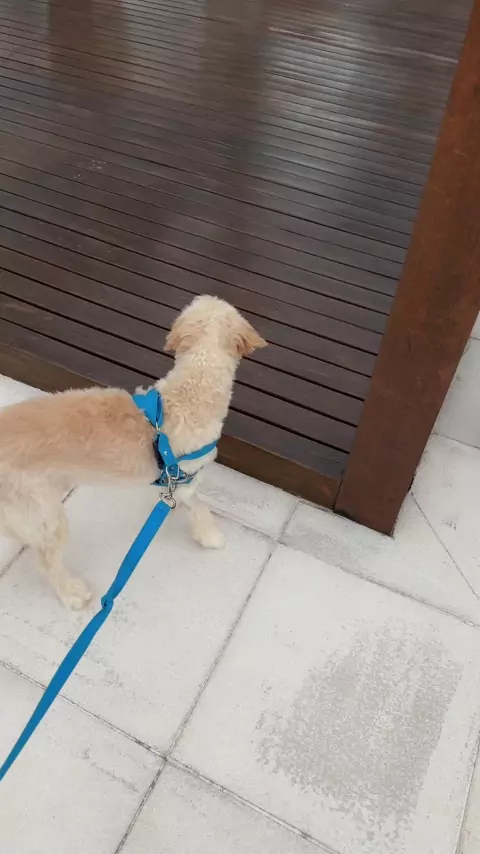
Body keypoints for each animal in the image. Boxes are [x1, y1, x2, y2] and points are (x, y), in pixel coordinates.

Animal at [0, 296, 266, 609]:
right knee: (47, 561)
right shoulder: (185, 478)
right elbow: (200, 507)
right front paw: (210, 536)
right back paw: (73, 594)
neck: (192, 388)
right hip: (46, 516)